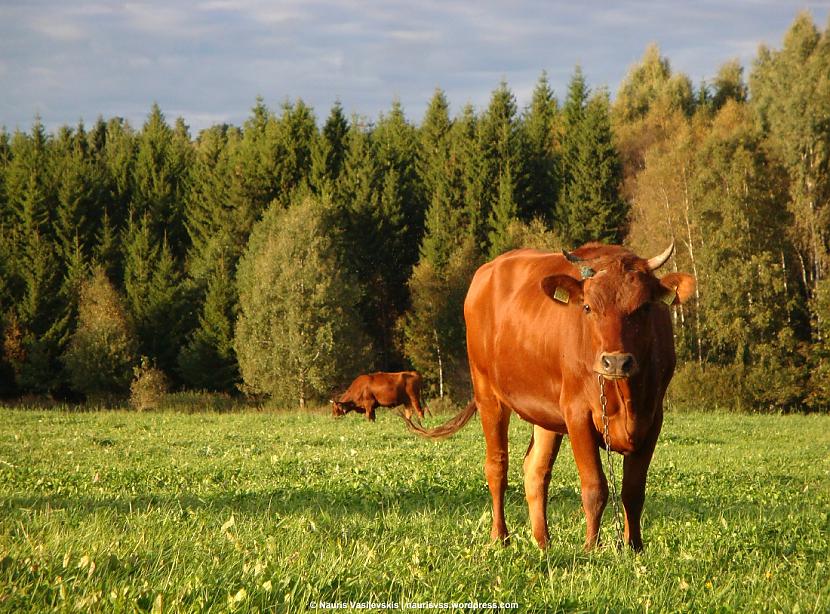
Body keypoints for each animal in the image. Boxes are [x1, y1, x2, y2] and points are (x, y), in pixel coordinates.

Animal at [404, 244, 696, 552]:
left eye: (644, 307)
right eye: (588, 307)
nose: (616, 362)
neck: (625, 396)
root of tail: (487, 271)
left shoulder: (652, 418)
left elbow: (633, 490)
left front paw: (634, 547)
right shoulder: (577, 414)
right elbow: (595, 487)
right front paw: (591, 548)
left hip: (545, 414)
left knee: (535, 471)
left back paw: (543, 542)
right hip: (488, 393)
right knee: (497, 467)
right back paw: (500, 537)